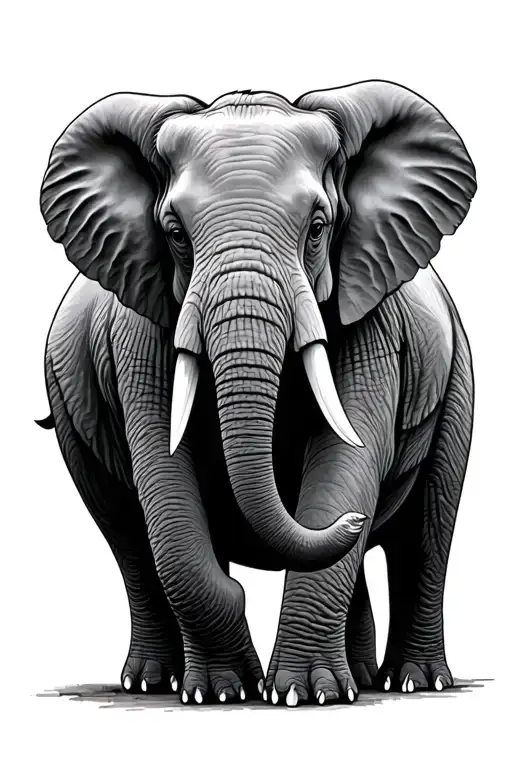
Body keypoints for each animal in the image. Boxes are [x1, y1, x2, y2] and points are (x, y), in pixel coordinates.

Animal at [37, 80, 476, 707]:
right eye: (175, 233)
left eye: (317, 228)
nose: (349, 522)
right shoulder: (139, 326)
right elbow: (167, 485)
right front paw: (223, 692)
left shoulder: (375, 319)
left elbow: (347, 460)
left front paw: (305, 695)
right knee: (127, 535)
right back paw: (153, 682)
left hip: (458, 378)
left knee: (426, 530)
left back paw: (412, 682)